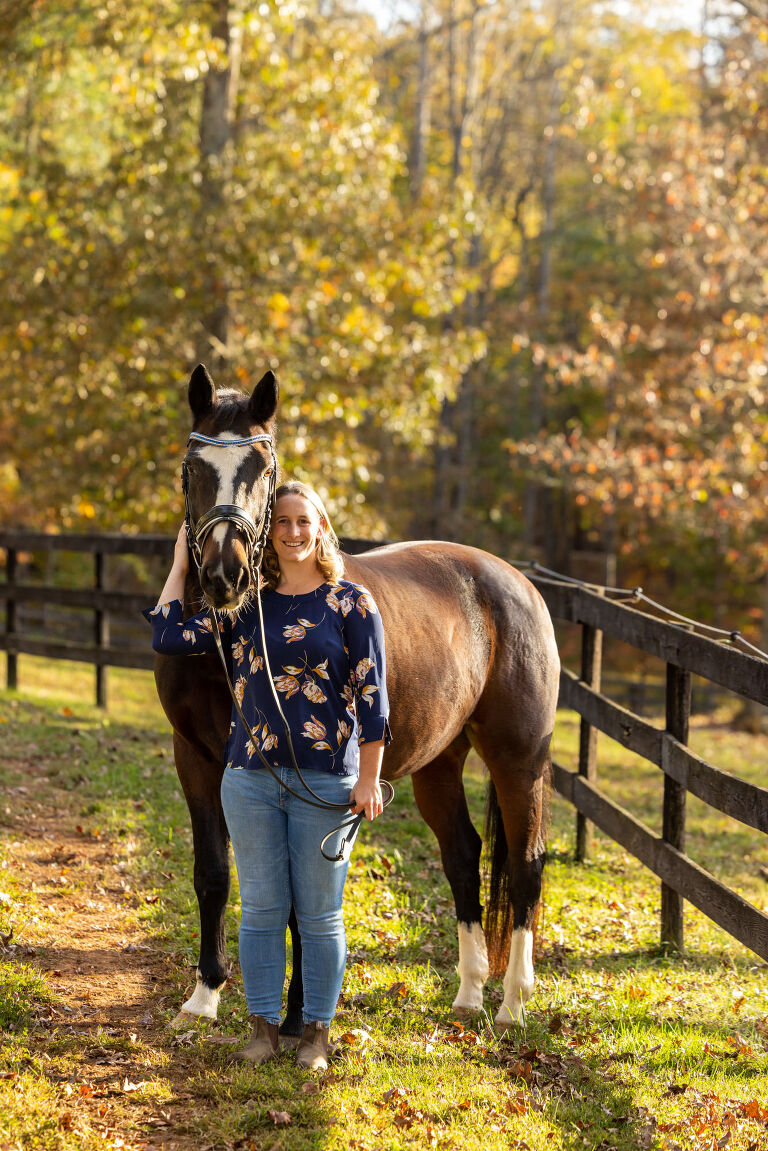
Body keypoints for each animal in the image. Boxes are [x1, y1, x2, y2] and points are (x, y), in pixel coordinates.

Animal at [151, 361, 559, 1035]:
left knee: (525, 865)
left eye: (263, 467)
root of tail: (515, 583)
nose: (222, 574)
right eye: (192, 467)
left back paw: (511, 1005)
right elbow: (213, 873)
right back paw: (469, 993)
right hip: (439, 763)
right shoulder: (200, 759)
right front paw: (203, 998)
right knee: (463, 855)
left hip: (517, 760)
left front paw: (294, 1018)